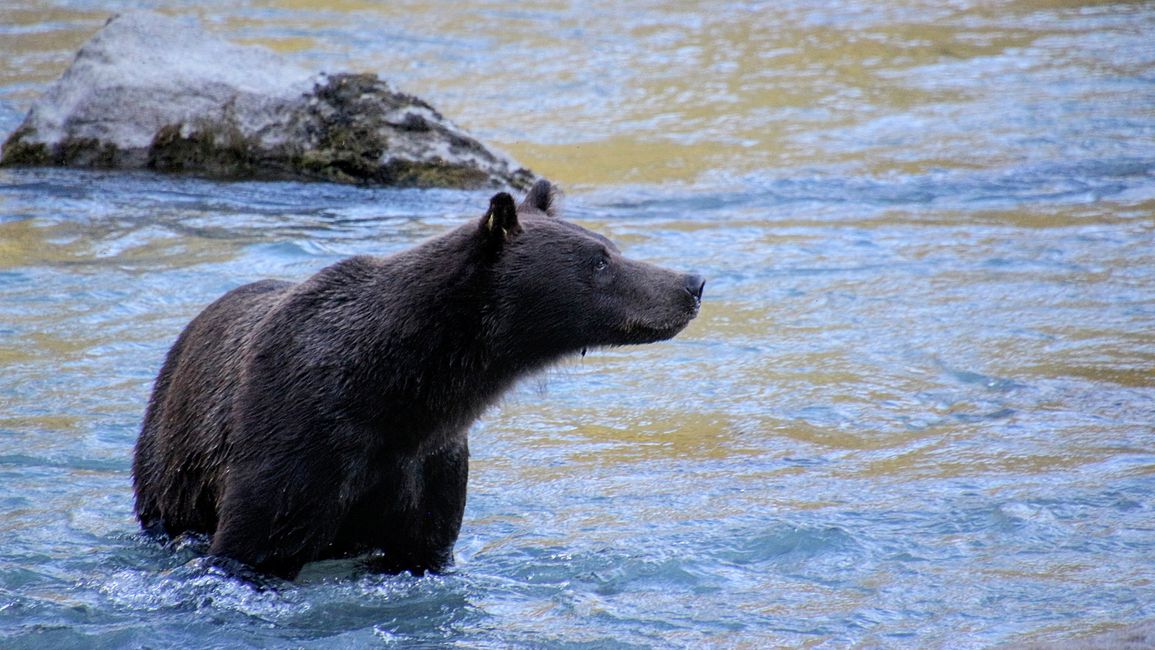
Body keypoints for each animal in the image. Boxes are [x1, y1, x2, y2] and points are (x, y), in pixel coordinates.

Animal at [133, 178, 702, 579]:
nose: (692, 282)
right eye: (599, 262)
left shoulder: (429, 462)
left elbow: (425, 539)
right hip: (173, 460)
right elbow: (257, 540)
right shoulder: (295, 436)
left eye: (610, 246)